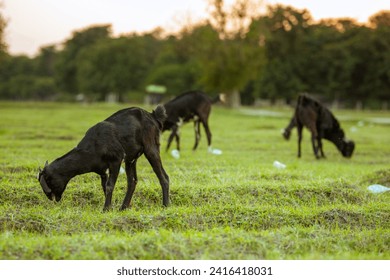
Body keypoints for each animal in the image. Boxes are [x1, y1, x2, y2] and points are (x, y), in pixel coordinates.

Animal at [37, 105, 169, 210]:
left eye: (49, 181)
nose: (53, 199)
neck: (92, 148)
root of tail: (152, 115)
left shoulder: (116, 160)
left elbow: (110, 185)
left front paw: (105, 209)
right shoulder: (102, 170)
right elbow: (104, 186)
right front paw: (110, 208)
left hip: (151, 147)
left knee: (163, 176)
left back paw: (165, 205)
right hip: (130, 159)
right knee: (132, 181)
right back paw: (123, 207)